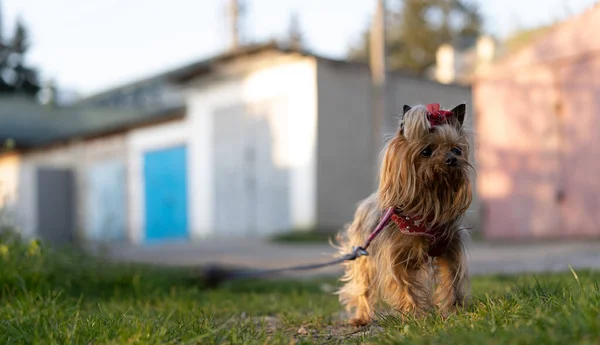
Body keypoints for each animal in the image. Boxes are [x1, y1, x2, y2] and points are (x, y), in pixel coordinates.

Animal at [336, 102, 472, 326]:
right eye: (426, 151)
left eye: (457, 149)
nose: (452, 159)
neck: (430, 201)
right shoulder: (395, 257)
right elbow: (403, 285)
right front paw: (415, 315)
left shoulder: (450, 248)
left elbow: (451, 277)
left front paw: (453, 310)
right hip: (364, 254)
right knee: (363, 286)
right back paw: (362, 317)